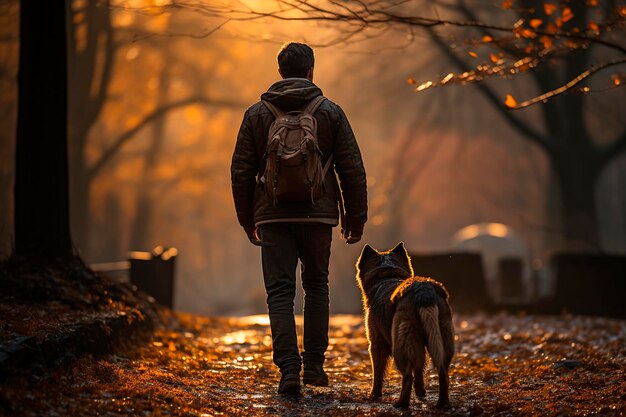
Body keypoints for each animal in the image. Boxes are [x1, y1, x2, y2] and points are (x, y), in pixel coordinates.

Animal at [356, 242, 454, 408]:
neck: (386, 276)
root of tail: (423, 291)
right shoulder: (421, 347)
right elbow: (420, 369)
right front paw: (421, 392)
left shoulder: (376, 344)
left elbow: (378, 373)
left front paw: (374, 395)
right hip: (442, 340)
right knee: (443, 374)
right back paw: (442, 404)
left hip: (401, 346)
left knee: (407, 376)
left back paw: (401, 404)